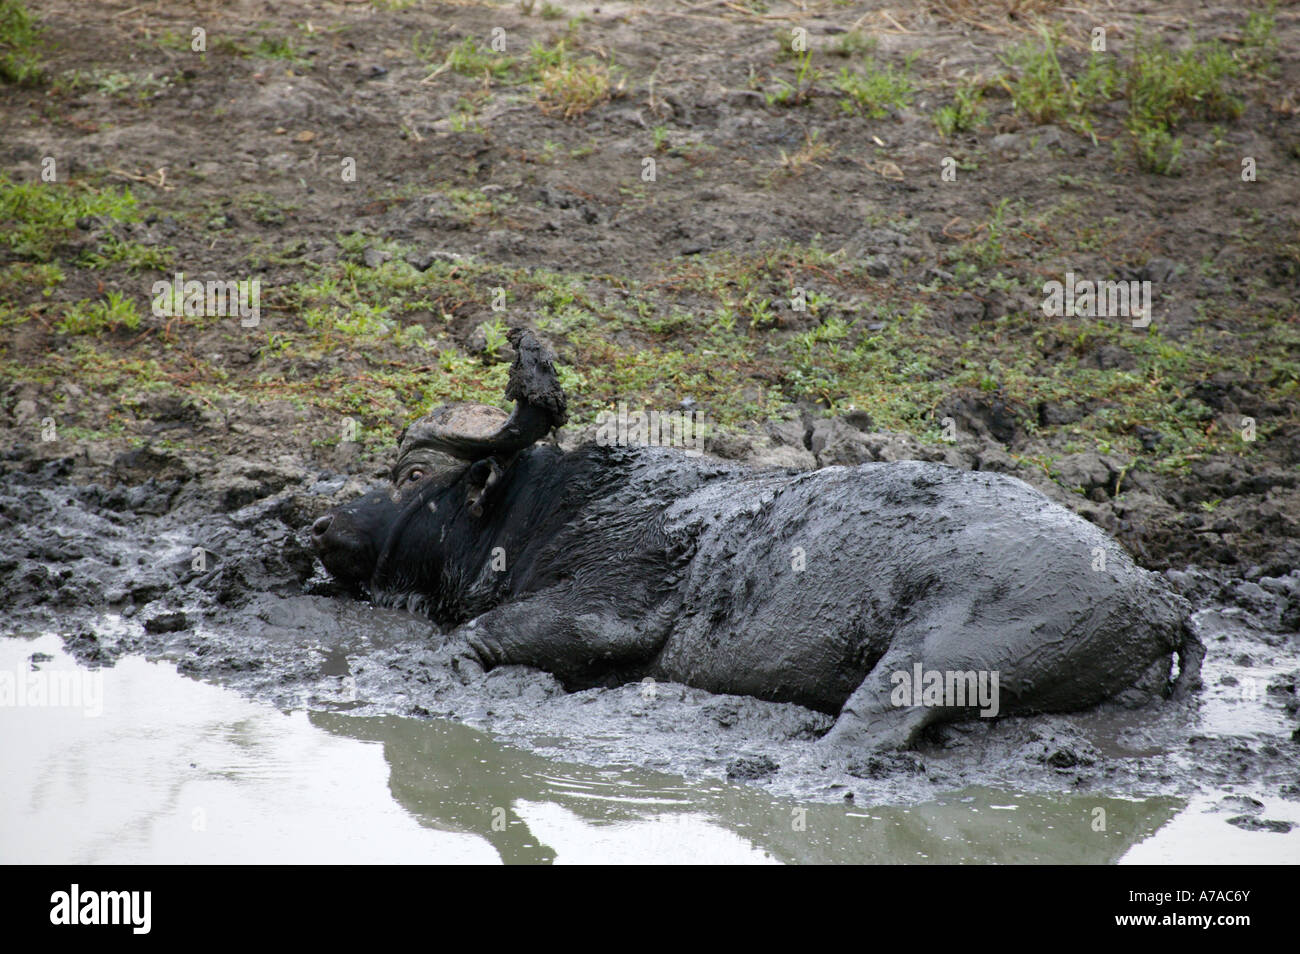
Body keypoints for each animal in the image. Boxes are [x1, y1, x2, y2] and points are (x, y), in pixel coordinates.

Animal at [311, 328, 1200, 749]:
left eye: (407, 475)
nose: (322, 523)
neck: (557, 508)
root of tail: (1156, 598)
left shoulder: (605, 607)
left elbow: (478, 635)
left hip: (946, 649)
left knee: (870, 728)